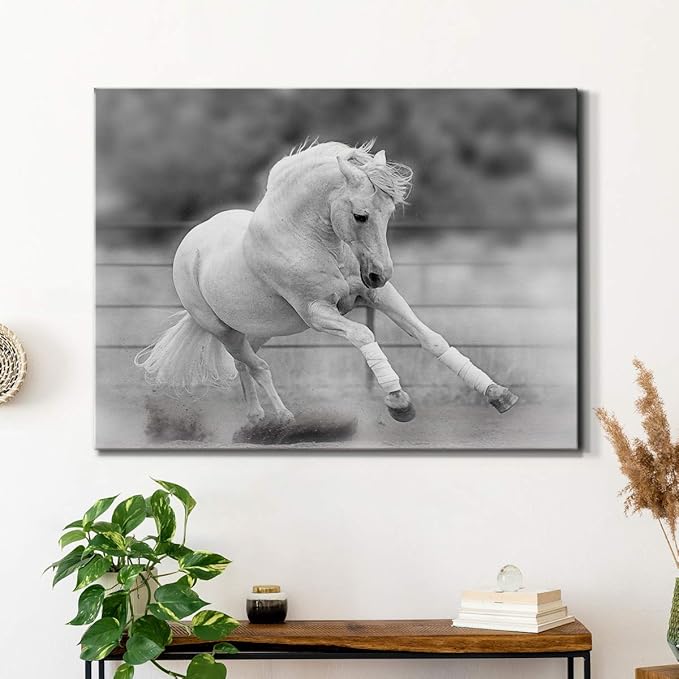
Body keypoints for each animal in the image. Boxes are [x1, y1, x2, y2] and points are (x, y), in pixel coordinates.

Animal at [135, 140, 518, 433]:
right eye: (361, 215)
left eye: (390, 213)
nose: (380, 273)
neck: (308, 239)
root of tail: (191, 245)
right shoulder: (318, 313)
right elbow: (364, 335)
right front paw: (399, 402)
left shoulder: (377, 296)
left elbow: (431, 339)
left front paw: (497, 393)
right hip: (222, 330)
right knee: (258, 367)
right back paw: (282, 418)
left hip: (256, 330)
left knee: (245, 365)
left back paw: (257, 419)